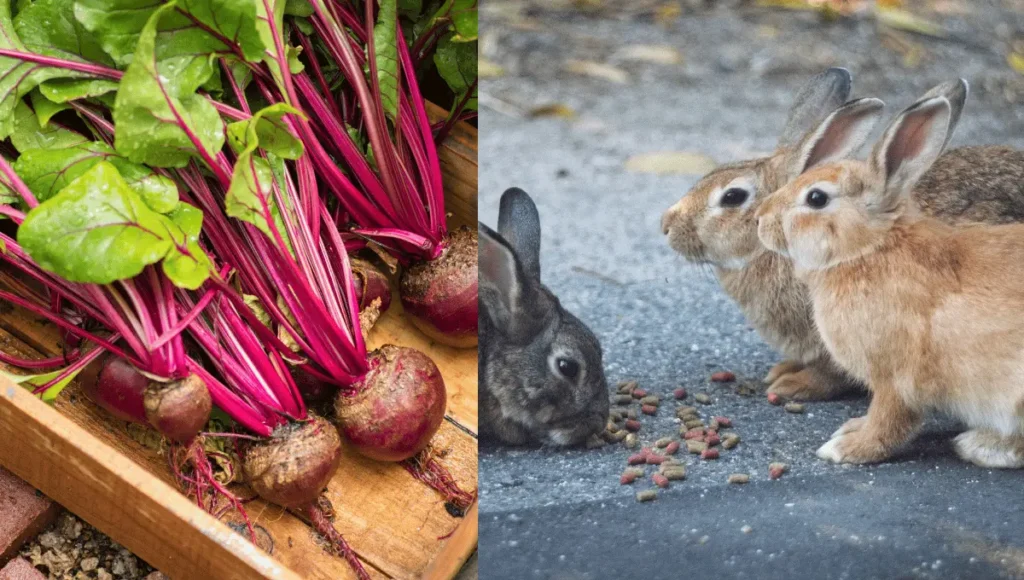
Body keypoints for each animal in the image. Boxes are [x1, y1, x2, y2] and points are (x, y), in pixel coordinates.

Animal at [753, 84, 1024, 469]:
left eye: (816, 198)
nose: (760, 219)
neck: (868, 250)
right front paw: (852, 428)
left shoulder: (895, 380)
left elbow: (889, 420)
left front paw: (847, 448)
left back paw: (981, 446)